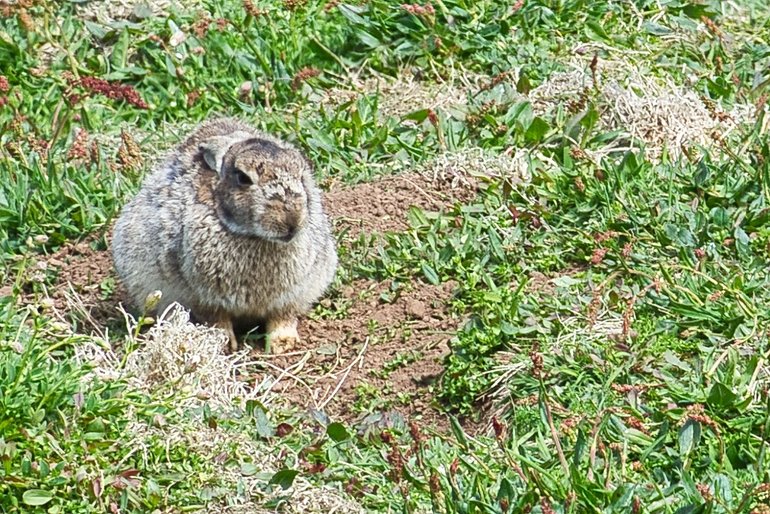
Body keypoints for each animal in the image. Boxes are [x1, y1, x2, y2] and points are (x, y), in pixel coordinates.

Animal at [110, 117, 336, 352]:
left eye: (301, 176)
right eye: (243, 178)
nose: (292, 222)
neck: (252, 236)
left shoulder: (292, 294)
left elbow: (282, 317)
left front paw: (283, 344)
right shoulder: (203, 297)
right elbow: (217, 320)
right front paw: (224, 344)